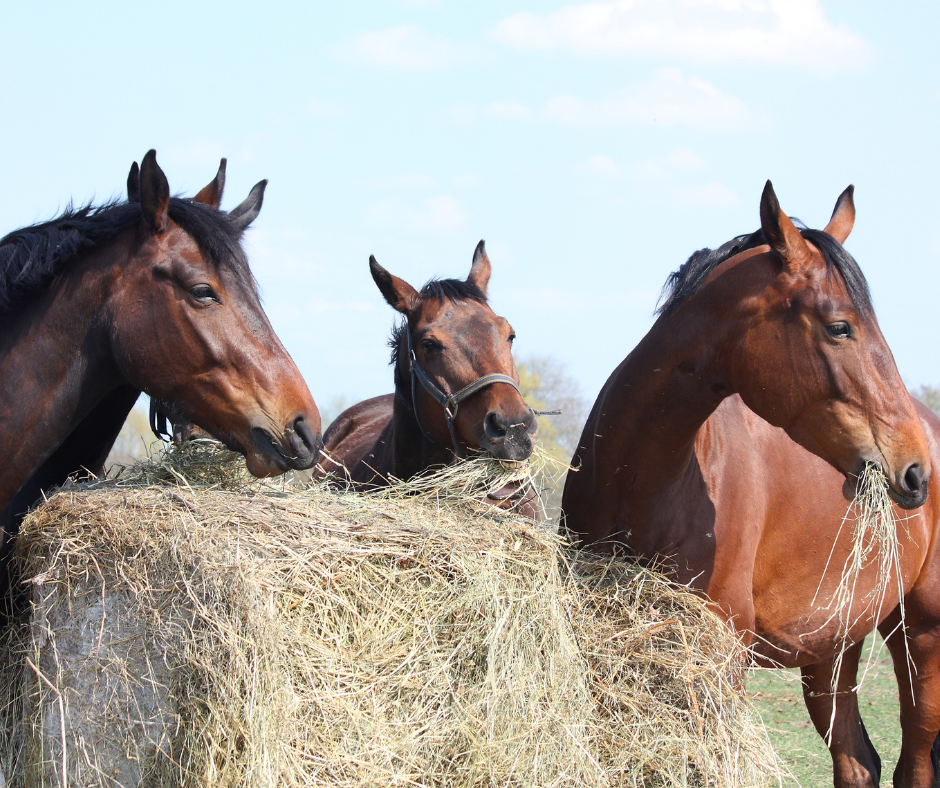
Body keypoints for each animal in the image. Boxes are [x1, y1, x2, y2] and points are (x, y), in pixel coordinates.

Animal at [560, 182, 936, 788]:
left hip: (921, 636)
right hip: (832, 649)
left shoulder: (721, 659)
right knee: (857, 761)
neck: (643, 484)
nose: (915, 469)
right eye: (839, 326)